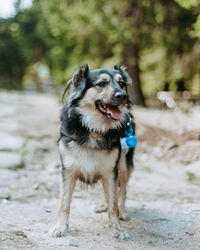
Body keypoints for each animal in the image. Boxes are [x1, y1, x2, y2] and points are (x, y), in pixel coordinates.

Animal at [50, 65, 136, 240]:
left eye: (122, 83)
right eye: (101, 83)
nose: (122, 96)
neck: (94, 128)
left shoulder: (111, 170)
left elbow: (113, 205)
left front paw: (117, 228)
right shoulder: (68, 170)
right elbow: (64, 203)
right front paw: (61, 227)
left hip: (124, 164)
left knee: (122, 189)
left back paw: (123, 211)